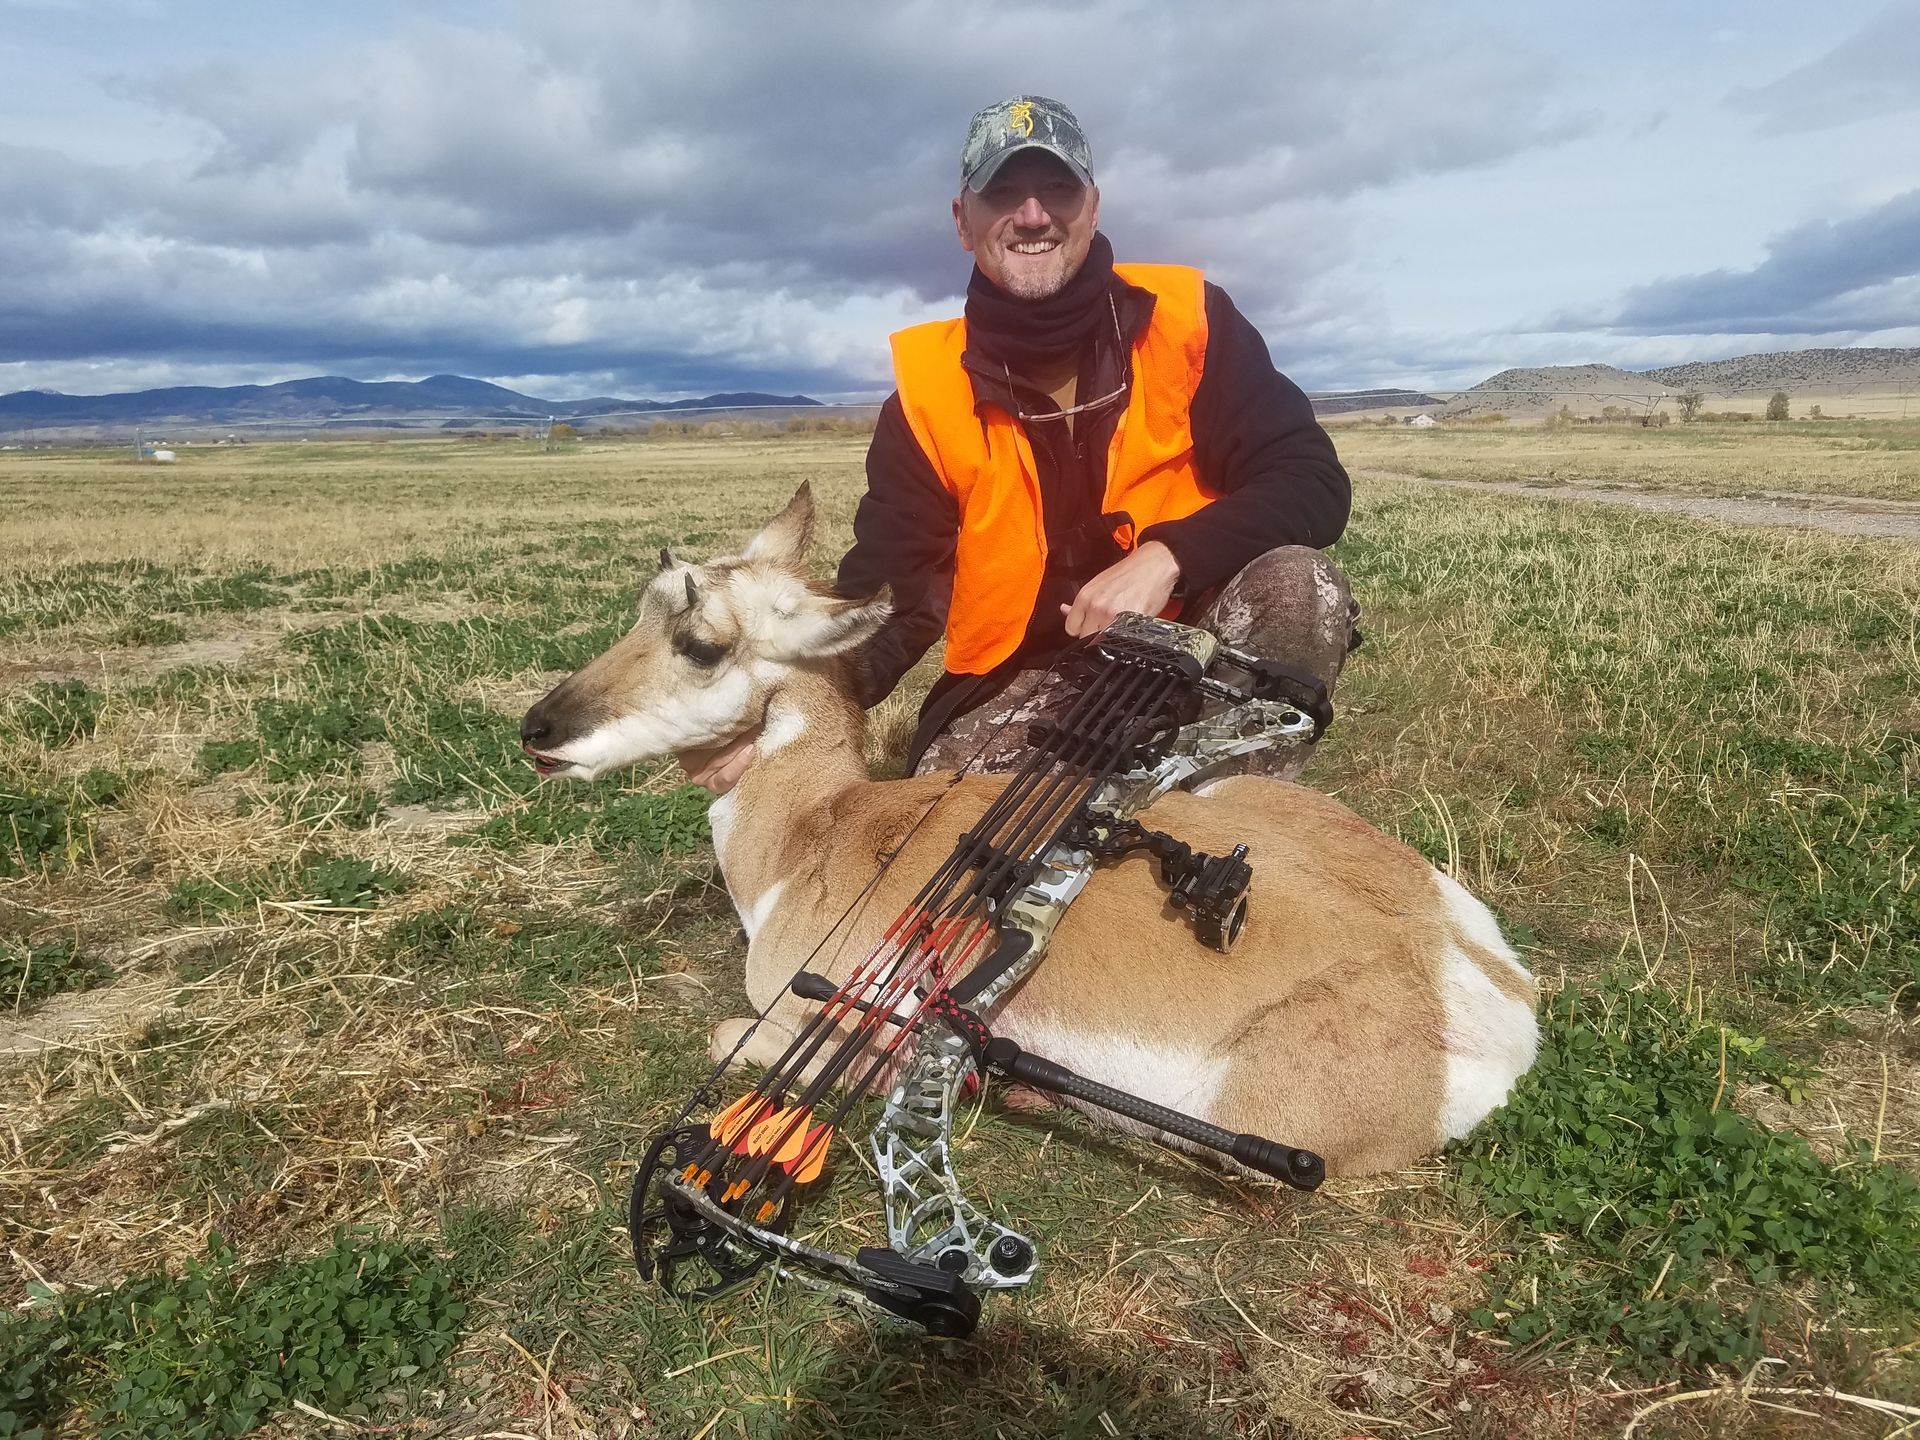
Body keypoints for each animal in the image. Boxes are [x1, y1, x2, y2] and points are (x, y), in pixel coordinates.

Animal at [520, 485, 1538, 1176]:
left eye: (700, 643)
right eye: (640, 609)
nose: (537, 729)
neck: (816, 830)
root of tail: (1487, 993)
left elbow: (726, 1036)